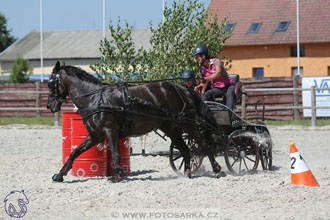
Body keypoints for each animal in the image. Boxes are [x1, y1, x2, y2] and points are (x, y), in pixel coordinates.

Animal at [47, 61, 223, 181]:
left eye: (50, 82)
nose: (49, 105)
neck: (95, 98)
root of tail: (181, 89)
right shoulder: (95, 136)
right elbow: (75, 152)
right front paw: (60, 174)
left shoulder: (110, 131)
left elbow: (116, 154)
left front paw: (118, 176)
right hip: (171, 129)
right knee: (186, 150)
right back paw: (187, 172)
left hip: (187, 124)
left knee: (204, 145)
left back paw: (217, 169)